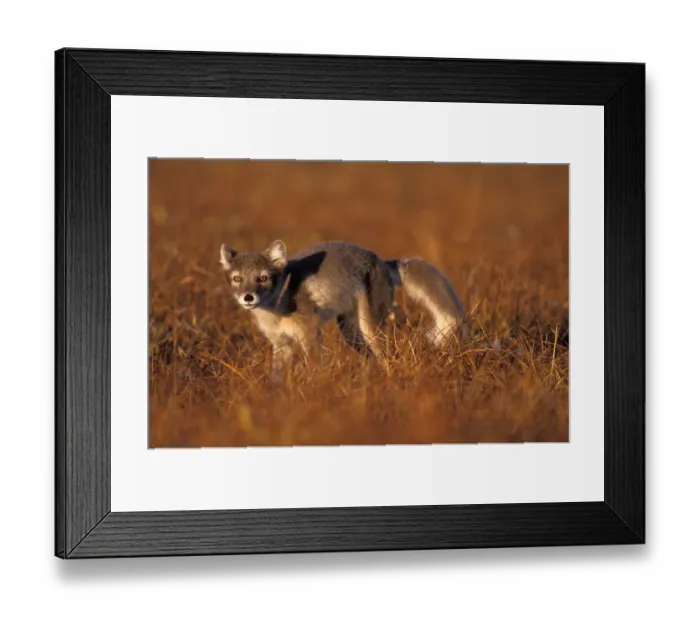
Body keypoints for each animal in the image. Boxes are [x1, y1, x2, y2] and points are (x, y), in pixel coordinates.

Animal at [220, 240, 467, 380]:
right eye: (237, 279)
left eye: (262, 278)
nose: (248, 297)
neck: (276, 310)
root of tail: (380, 260)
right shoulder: (281, 343)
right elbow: (275, 379)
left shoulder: (310, 334)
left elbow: (315, 369)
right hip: (352, 333)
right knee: (372, 359)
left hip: (370, 328)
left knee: (390, 357)